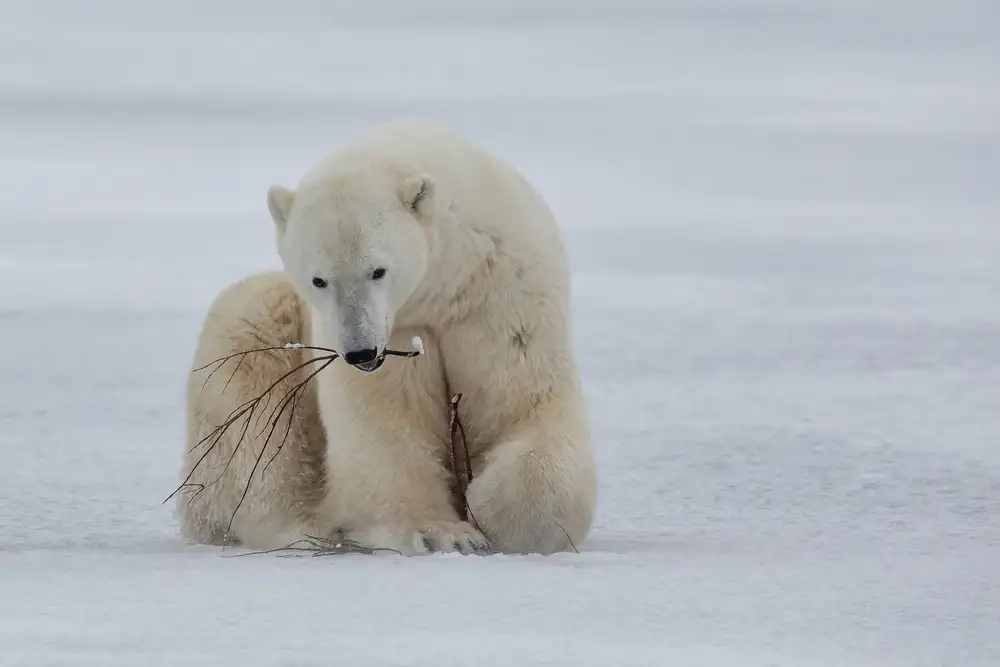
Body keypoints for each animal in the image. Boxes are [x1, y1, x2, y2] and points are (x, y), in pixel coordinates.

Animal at [177, 119, 597, 556]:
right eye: (319, 279)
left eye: (377, 270)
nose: (361, 352)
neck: (442, 283)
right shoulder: (395, 329)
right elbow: (384, 421)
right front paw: (443, 533)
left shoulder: (498, 295)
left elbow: (523, 404)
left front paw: (492, 509)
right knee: (256, 431)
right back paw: (308, 527)